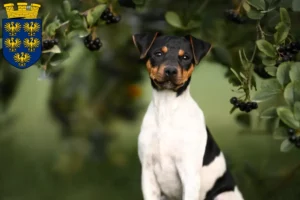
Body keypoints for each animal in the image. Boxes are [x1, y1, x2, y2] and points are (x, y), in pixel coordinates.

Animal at [132, 32, 245, 200]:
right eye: (158, 53)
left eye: (185, 57)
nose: (171, 71)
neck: (167, 109)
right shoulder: (148, 174)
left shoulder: (189, 175)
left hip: (223, 195)